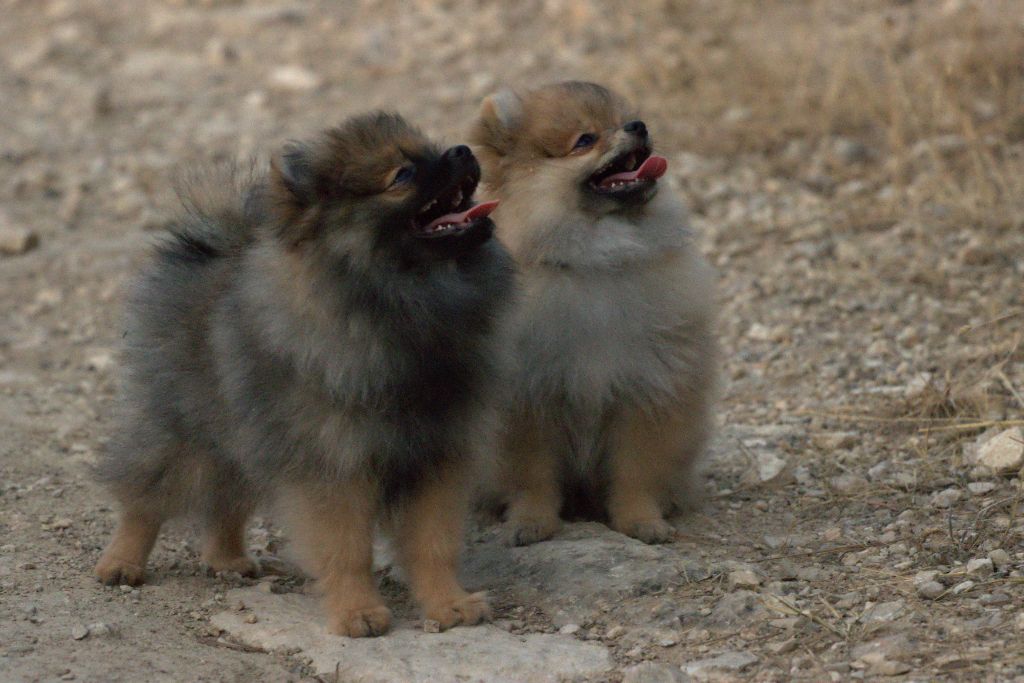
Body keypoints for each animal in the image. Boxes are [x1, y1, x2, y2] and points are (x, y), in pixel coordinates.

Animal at [94, 112, 512, 634]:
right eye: (403, 174)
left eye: (433, 147)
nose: (461, 150)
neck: (401, 303)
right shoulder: (335, 464)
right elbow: (347, 549)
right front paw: (359, 612)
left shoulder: (437, 458)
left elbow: (432, 545)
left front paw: (449, 605)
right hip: (183, 430)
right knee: (144, 495)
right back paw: (121, 563)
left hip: (243, 436)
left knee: (227, 500)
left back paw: (228, 559)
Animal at [468, 82, 716, 548]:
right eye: (585, 139)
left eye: (625, 118)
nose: (638, 126)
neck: (594, 261)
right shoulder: (528, 401)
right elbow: (532, 478)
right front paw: (530, 522)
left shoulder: (645, 389)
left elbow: (636, 472)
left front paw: (642, 521)